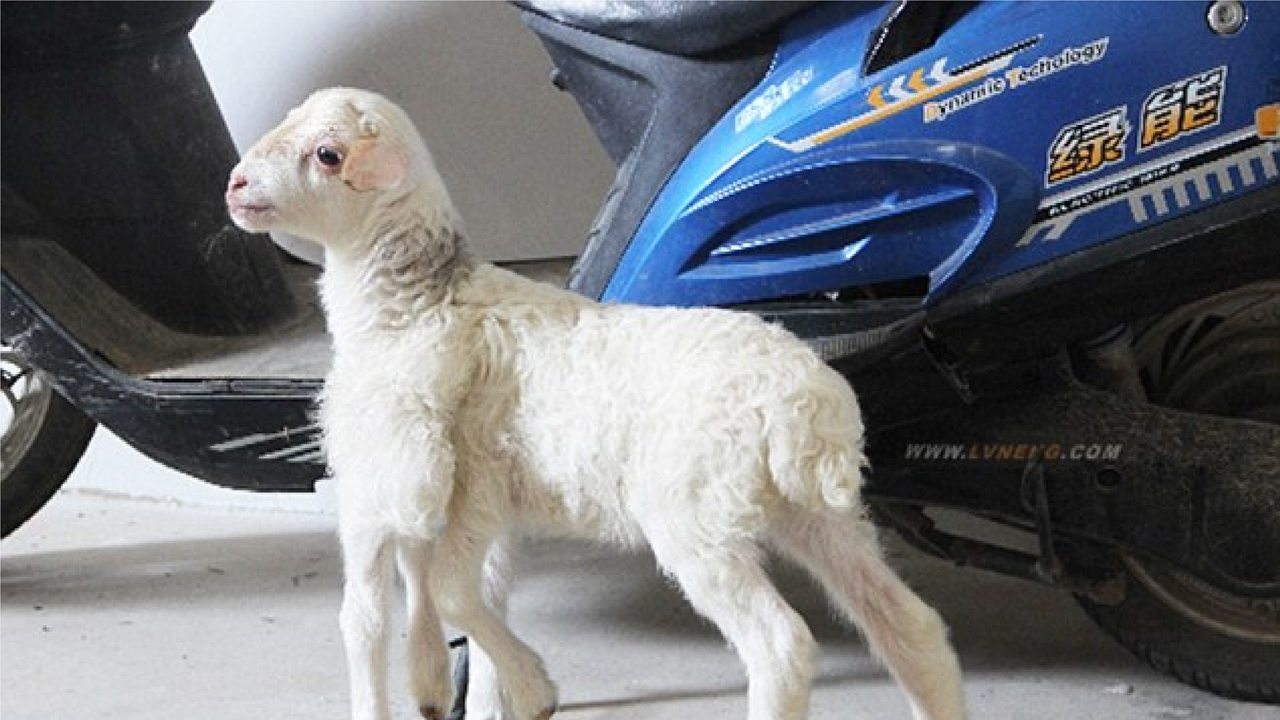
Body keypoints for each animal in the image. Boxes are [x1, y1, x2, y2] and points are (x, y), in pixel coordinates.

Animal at [226, 87, 966, 720]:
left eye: (328, 154)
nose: (234, 184)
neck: (414, 300)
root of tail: (806, 408)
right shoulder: (482, 503)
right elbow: (463, 593)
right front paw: (488, 688)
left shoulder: (441, 488)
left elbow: (429, 597)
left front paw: (531, 686)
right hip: (818, 516)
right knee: (909, 622)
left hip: (697, 521)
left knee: (781, 644)